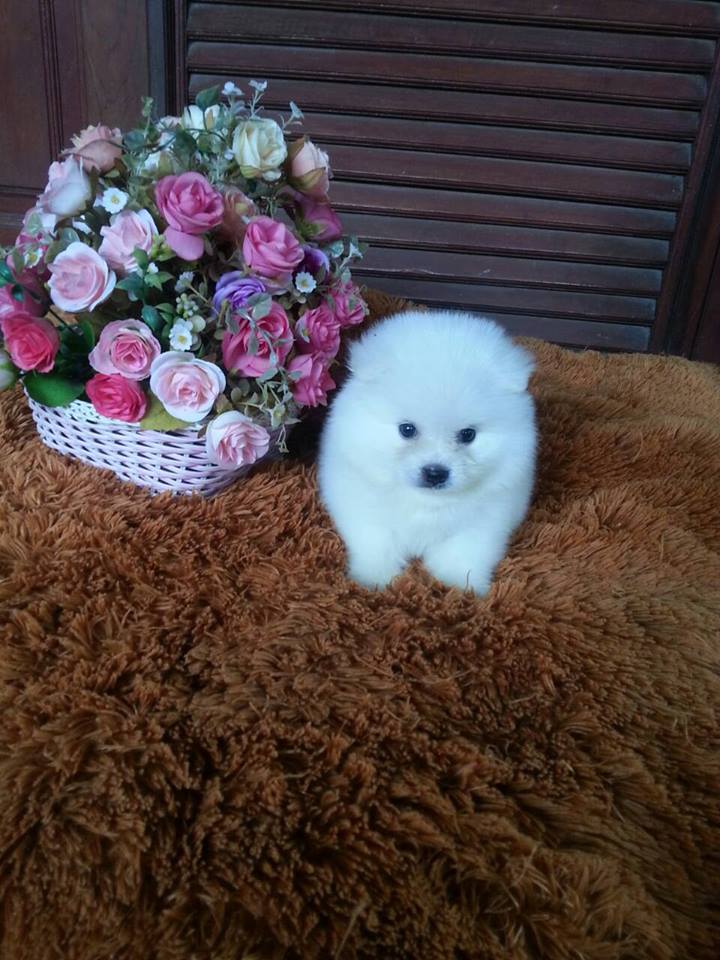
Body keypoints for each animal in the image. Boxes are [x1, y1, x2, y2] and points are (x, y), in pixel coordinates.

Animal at [318, 309, 536, 594]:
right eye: (407, 429)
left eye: (468, 435)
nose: (435, 473)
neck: (426, 501)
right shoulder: (362, 507)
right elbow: (376, 543)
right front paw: (373, 580)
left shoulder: (486, 520)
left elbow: (465, 551)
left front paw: (460, 586)